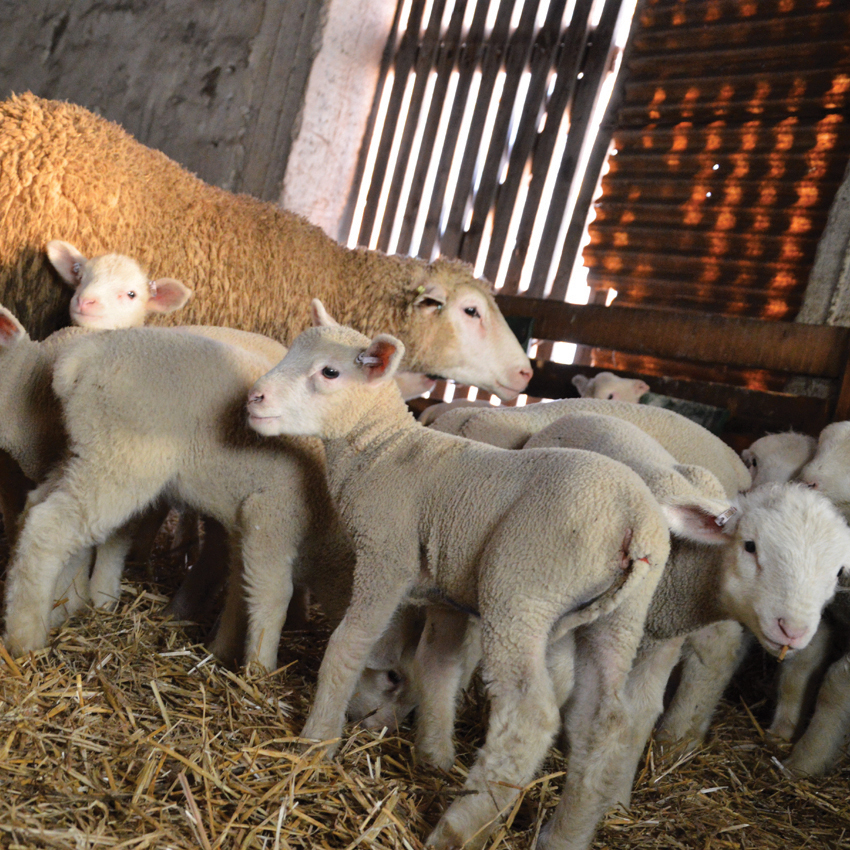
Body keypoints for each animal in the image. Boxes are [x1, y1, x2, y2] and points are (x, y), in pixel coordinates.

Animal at [0, 320, 352, 668]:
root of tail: (84, 357)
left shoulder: (245, 527)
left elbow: (240, 588)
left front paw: (222, 649)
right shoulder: (271, 520)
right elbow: (272, 597)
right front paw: (260, 670)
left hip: (88, 452)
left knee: (37, 506)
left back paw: (59, 608)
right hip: (123, 460)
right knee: (49, 527)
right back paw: (25, 639)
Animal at [245, 304, 736, 848]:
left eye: (330, 372)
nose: (253, 398)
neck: (383, 451)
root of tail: (635, 519)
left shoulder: (385, 558)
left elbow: (346, 646)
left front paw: (315, 743)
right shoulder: (444, 592)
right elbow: (436, 667)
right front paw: (433, 755)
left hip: (520, 591)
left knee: (529, 717)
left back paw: (459, 826)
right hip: (619, 619)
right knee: (606, 722)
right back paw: (565, 835)